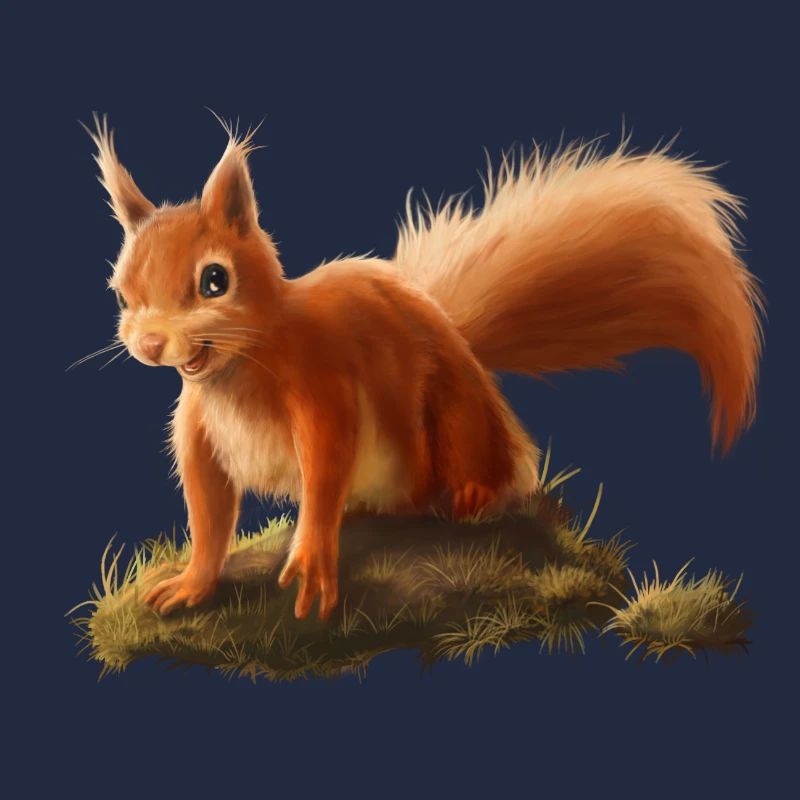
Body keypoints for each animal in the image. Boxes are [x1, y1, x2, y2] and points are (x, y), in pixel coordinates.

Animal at [81, 113, 763, 621]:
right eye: (121, 291)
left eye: (214, 280)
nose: (150, 344)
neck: (238, 368)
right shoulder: (198, 432)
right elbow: (208, 510)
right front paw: (193, 584)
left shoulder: (323, 385)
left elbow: (326, 464)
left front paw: (312, 556)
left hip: (455, 417)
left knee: (491, 467)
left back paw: (471, 493)